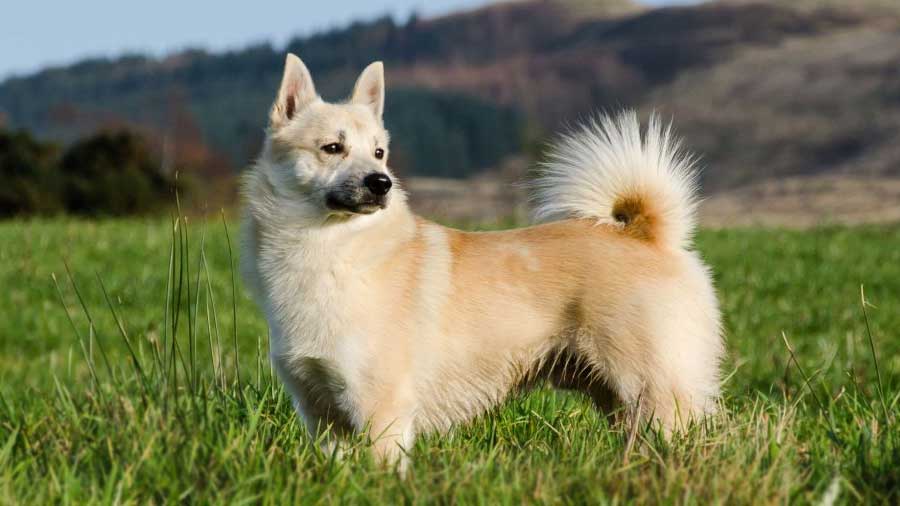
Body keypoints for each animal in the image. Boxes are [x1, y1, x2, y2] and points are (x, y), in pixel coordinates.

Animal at [239, 53, 724, 468]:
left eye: (379, 153)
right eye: (332, 148)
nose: (381, 183)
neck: (330, 249)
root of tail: (649, 236)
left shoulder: (382, 410)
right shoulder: (321, 414)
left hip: (654, 389)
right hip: (617, 398)